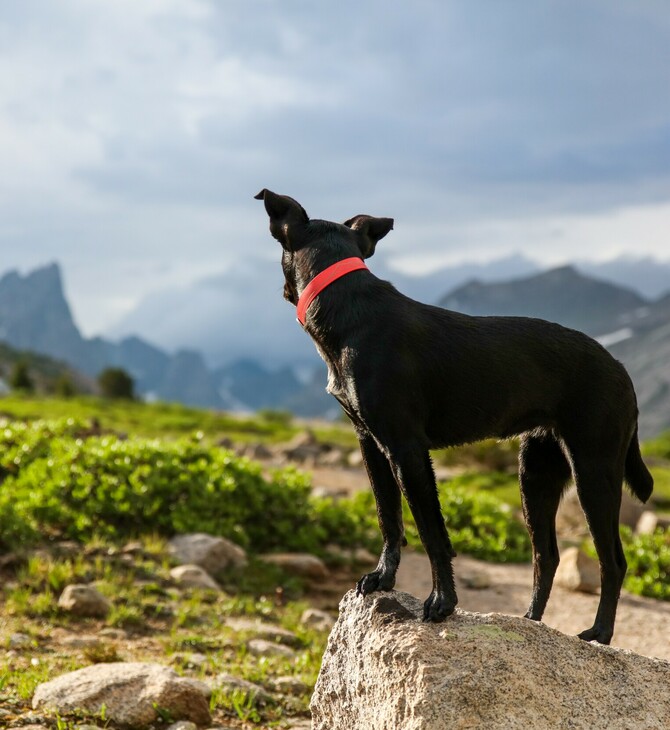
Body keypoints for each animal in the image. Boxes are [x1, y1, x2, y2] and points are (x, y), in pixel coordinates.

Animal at [258, 189, 656, 644]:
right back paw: (530, 623)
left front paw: (441, 602)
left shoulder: (408, 451)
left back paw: (600, 634)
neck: (348, 307)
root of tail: (622, 371)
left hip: (594, 470)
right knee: (547, 556)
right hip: (535, 473)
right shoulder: (371, 445)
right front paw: (383, 579)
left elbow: (432, 532)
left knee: (613, 561)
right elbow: (389, 519)